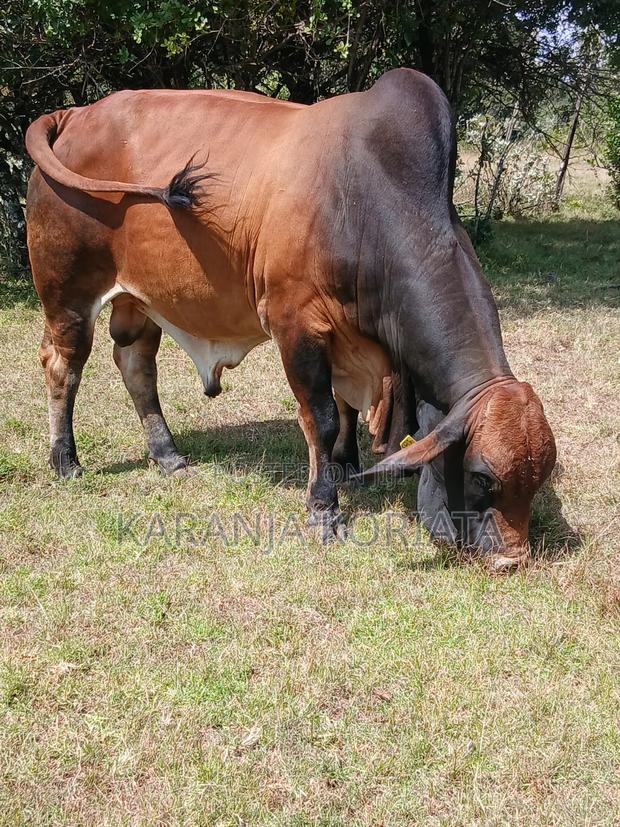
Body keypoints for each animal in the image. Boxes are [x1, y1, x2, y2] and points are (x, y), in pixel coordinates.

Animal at [25, 68, 557, 569]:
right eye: (481, 477)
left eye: (540, 480)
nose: (511, 559)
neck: (363, 203)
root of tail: (73, 114)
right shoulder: (296, 324)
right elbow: (322, 418)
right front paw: (325, 510)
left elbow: (345, 409)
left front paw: (346, 467)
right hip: (68, 294)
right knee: (63, 366)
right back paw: (66, 460)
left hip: (140, 300)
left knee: (136, 364)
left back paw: (168, 455)